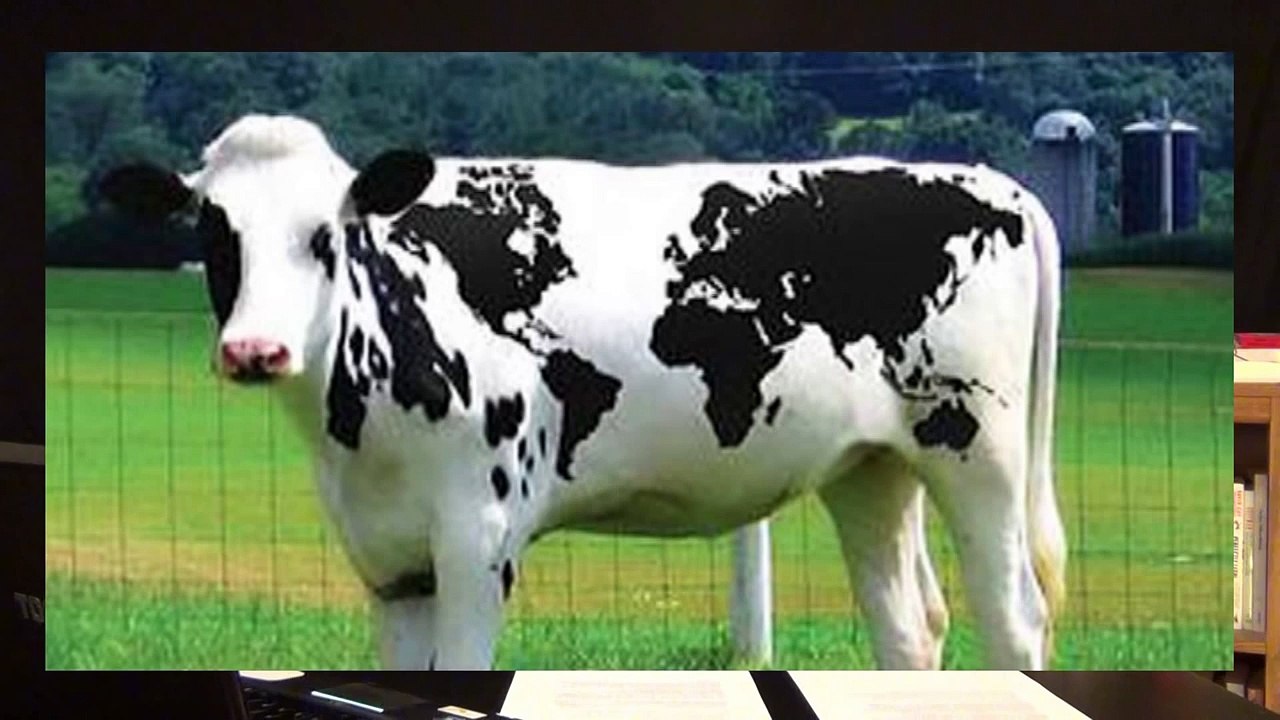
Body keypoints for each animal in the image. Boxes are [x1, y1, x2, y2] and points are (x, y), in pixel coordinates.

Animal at [101, 113, 1067, 671]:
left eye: (323, 234)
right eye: (215, 231)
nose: (254, 350)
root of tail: (989, 179)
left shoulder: (480, 538)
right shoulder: (389, 560)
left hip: (979, 452)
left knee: (1014, 618)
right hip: (873, 468)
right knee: (911, 626)